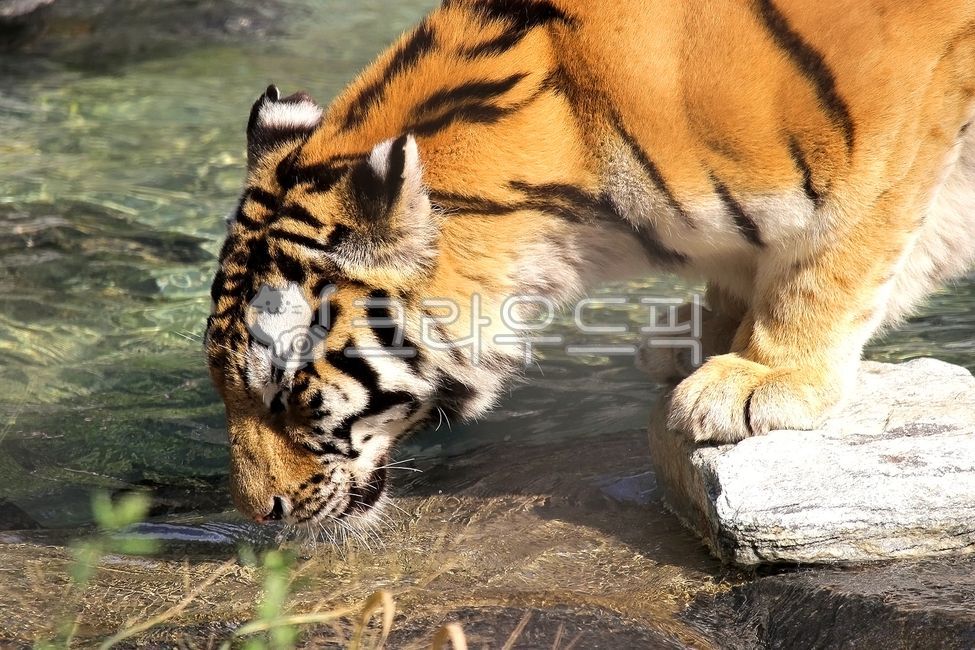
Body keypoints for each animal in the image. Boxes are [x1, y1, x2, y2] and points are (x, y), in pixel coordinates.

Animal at [204, 0, 975, 528]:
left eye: (285, 395)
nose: (256, 513)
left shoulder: (896, 121)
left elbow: (830, 258)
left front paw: (761, 375)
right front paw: (698, 337)